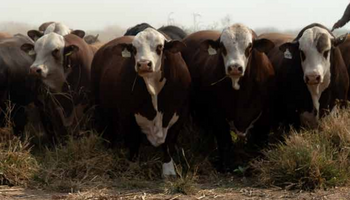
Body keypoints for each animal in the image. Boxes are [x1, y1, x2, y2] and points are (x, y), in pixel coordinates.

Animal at [92, 27, 191, 177]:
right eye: (134, 49)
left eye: (159, 47)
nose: (144, 64)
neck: (154, 89)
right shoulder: (127, 115)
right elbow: (133, 142)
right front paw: (133, 167)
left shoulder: (180, 115)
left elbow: (169, 143)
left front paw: (168, 170)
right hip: (101, 108)